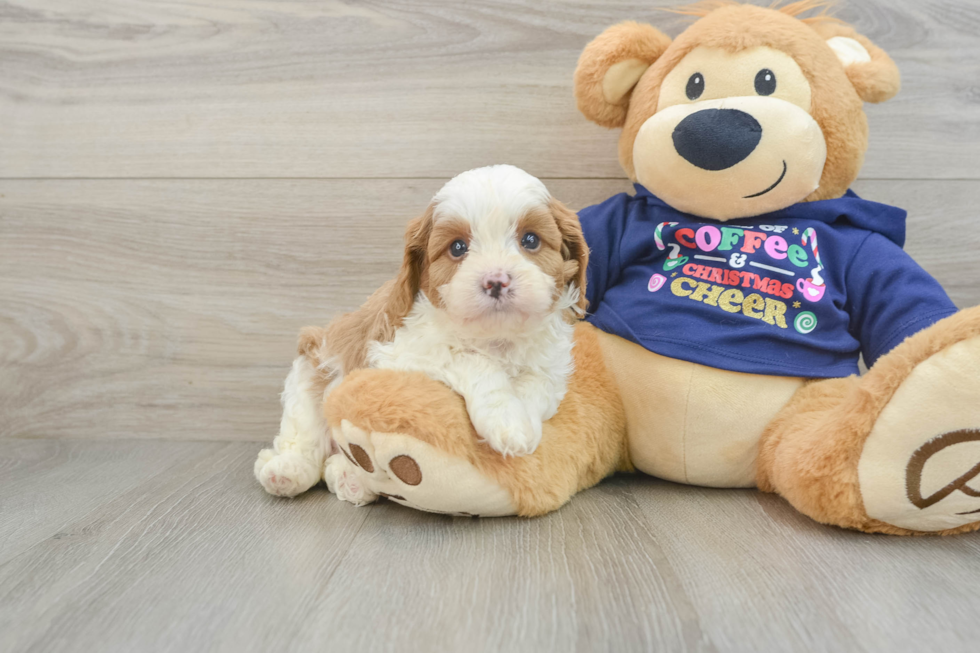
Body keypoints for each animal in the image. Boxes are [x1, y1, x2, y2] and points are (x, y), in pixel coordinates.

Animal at [255, 164, 588, 500]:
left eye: (530, 240)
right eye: (458, 247)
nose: (496, 281)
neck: (495, 337)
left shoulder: (551, 366)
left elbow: (536, 385)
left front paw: (522, 425)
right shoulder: (397, 354)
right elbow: (469, 359)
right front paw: (504, 419)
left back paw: (349, 478)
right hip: (310, 370)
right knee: (305, 437)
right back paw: (287, 471)